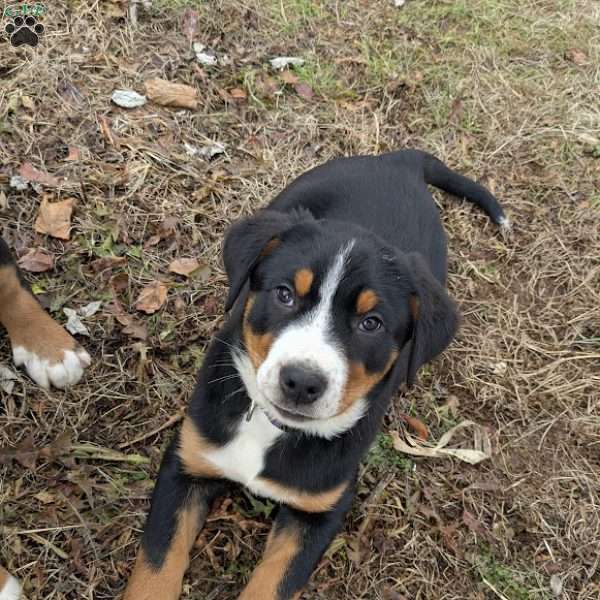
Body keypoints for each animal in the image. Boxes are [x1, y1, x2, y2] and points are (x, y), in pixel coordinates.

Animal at [124, 150, 508, 600]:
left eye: (371, 323)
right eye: (284, 294)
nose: (302, 382)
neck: (270, 430)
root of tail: (400, 159)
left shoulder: (320, 511)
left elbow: (271, 587)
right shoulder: (187, 462)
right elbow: (155, 567)